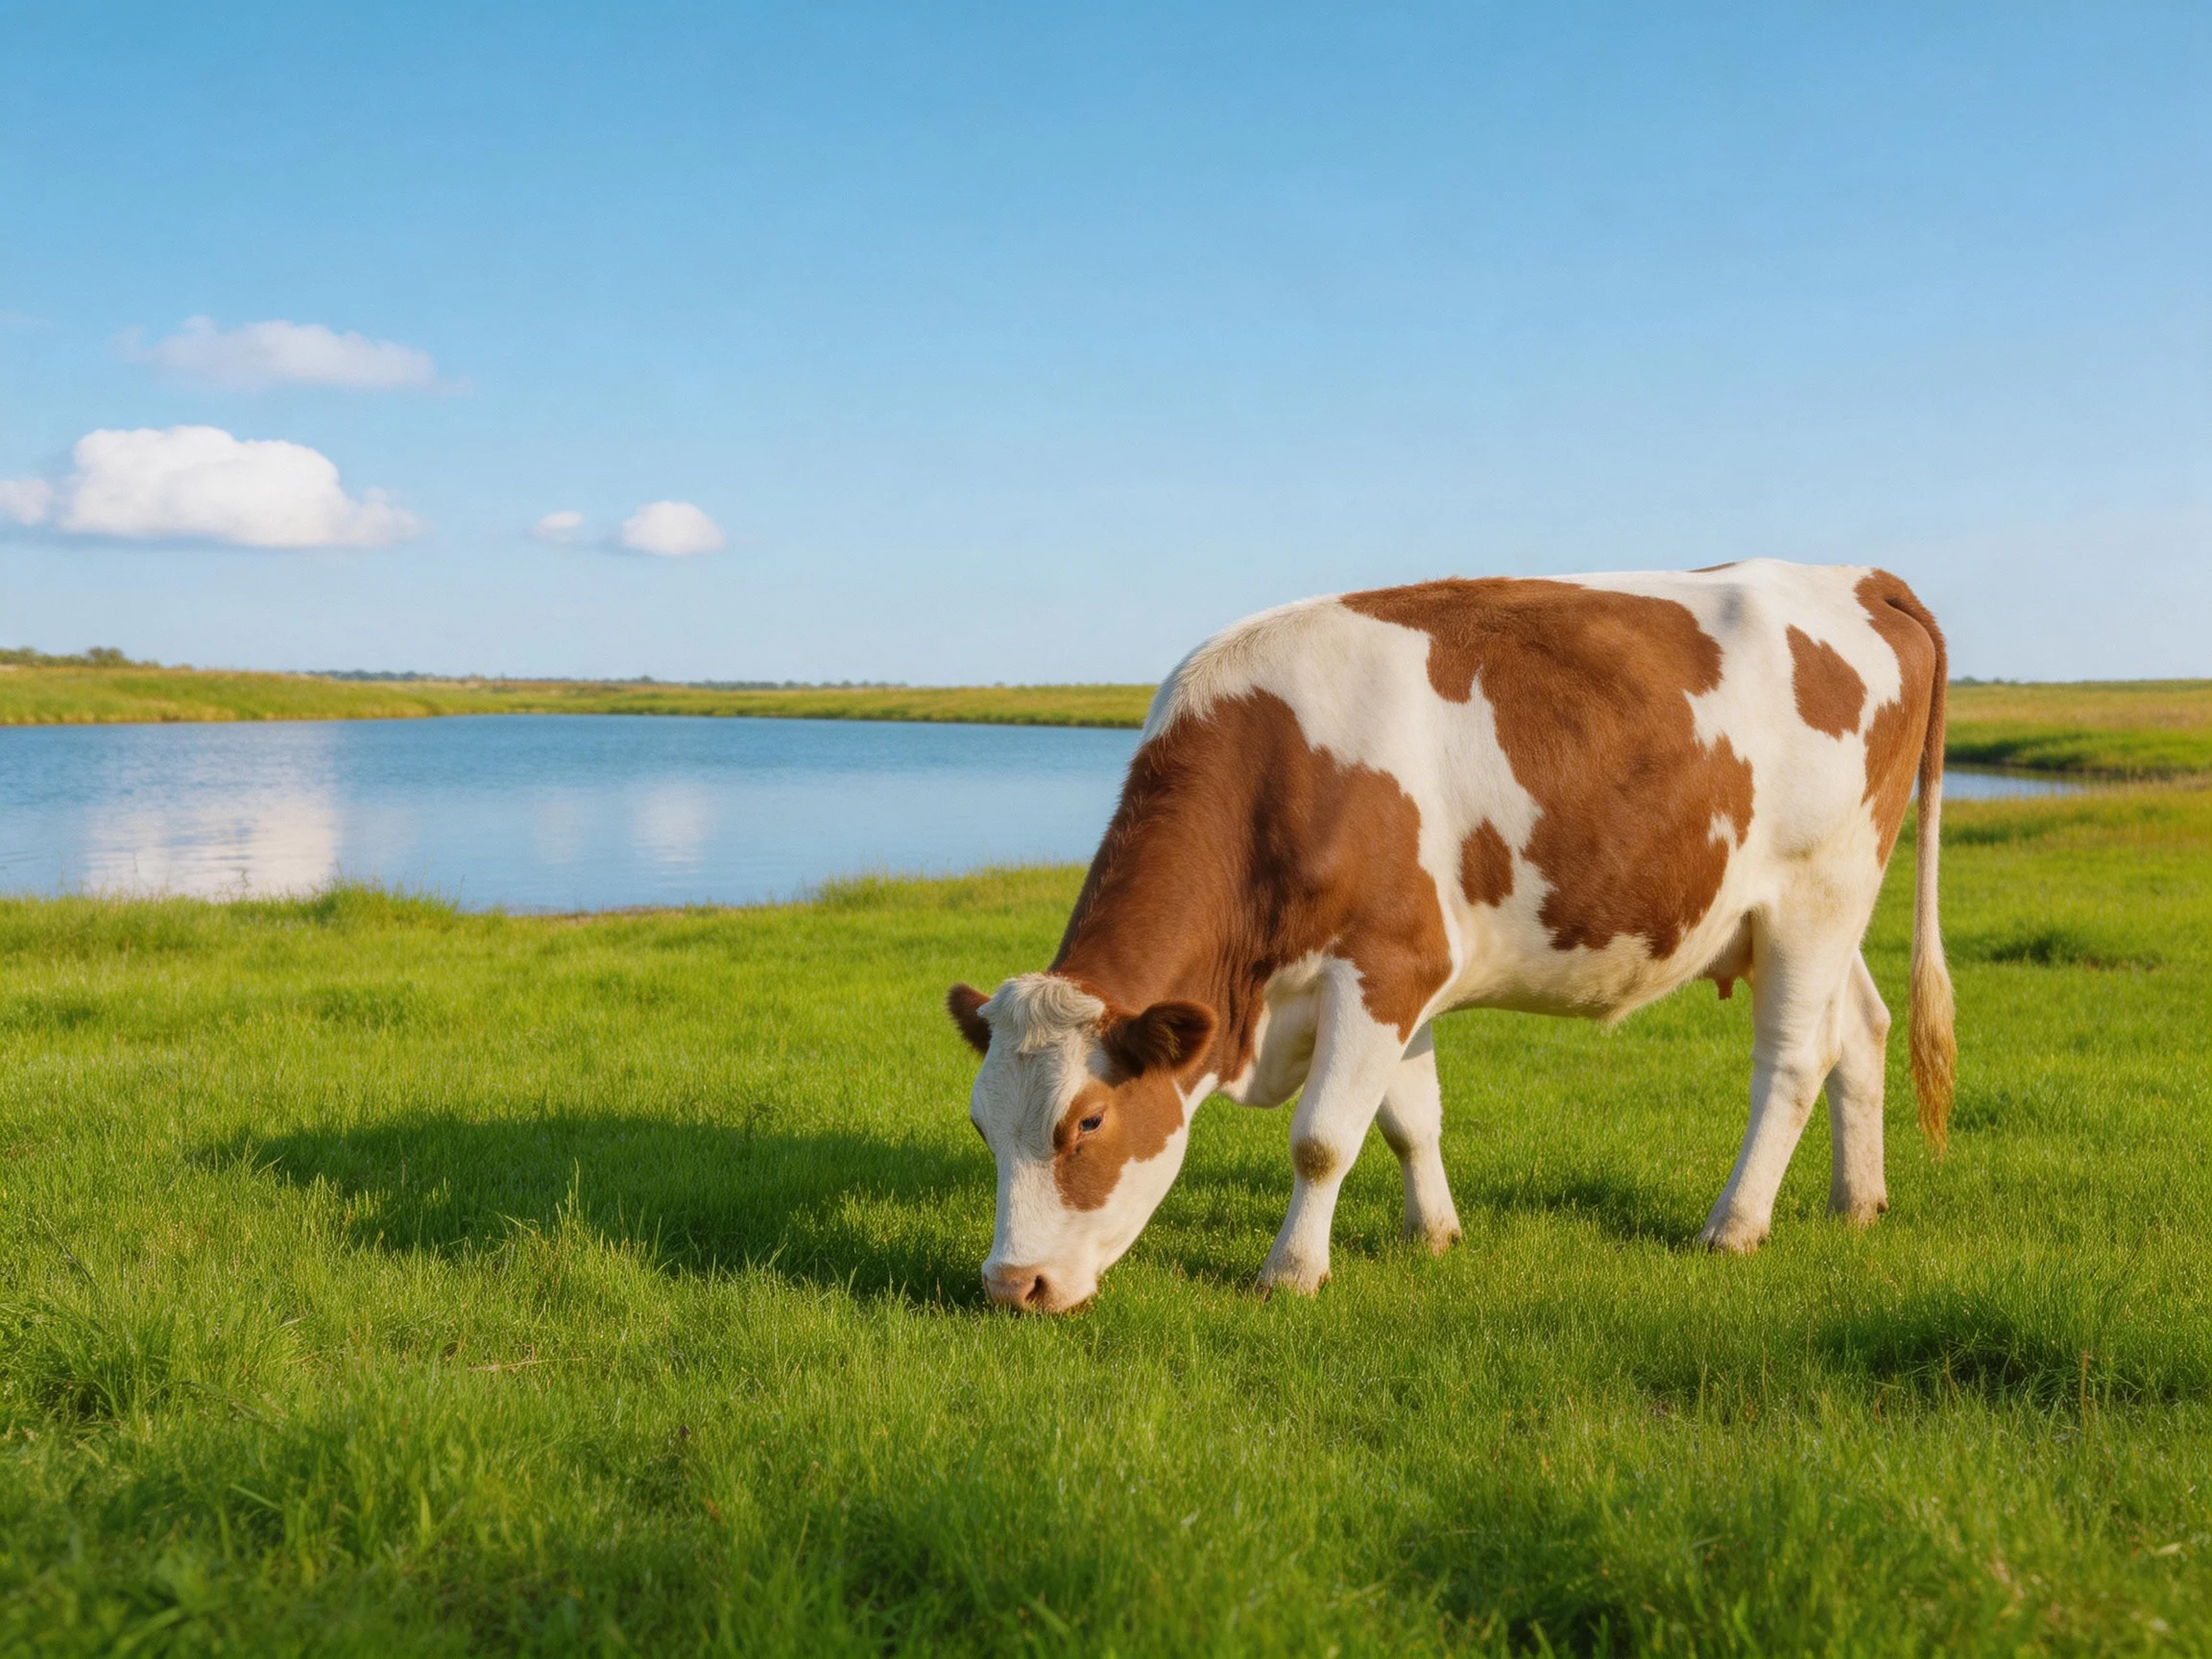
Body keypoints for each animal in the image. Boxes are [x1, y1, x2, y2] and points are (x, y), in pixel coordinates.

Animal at [946, 560, 1955, 1312]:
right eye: (981, 1124)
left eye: (1087, 1121)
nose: (1012, 1285)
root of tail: (1855, 576)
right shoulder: (1408, 973)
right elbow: (1408, 1119)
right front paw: (1432, 1234)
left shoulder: (1386, 962)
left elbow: (1323, 1136)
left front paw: (1291, 1273)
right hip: (1816, 911)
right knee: (1860, 1031)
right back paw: (1857, 1203)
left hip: (1816, 892)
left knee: (1792, 1060)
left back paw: (1734, 1226)